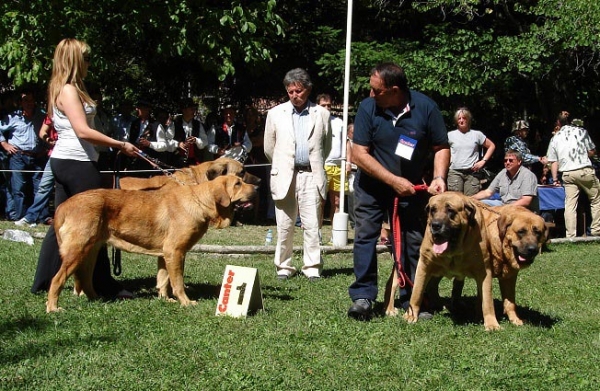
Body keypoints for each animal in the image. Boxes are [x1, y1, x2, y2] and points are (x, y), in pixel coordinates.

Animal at [45, 176, 254, 314]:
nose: (257, 187)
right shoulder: (175, 251)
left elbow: (163, 279)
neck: (201, 202)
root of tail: (63, 206)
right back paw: (53, 307)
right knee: (57, 279)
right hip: (77, 251)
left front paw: (166, 299)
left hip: (91, 251)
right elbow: (178, 281)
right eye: (238, 183)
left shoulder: (165, 254)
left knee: (86, 279)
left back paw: (98, 300)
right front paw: (186, 302)